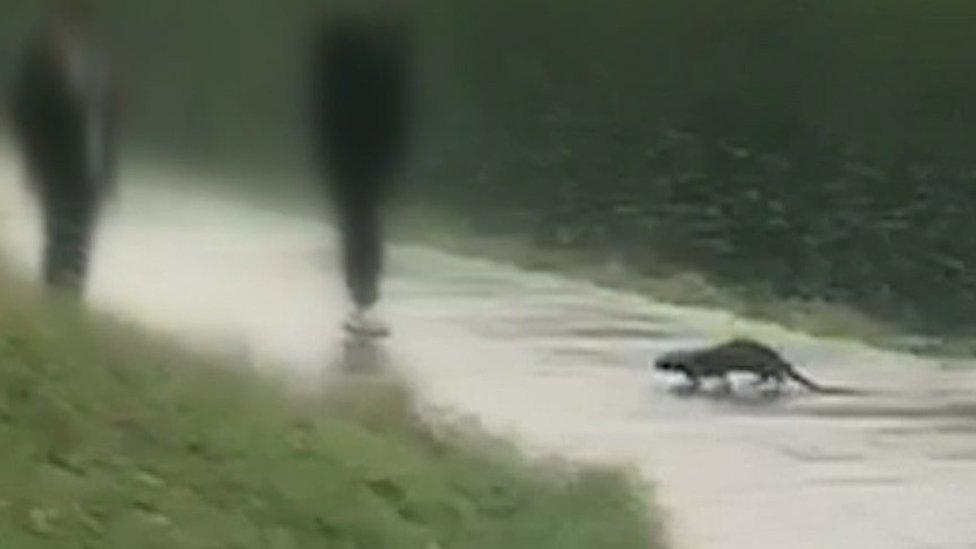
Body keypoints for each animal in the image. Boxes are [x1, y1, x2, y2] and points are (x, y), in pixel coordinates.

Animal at [656, 338, 860, 394]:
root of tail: (780, 357)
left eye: (662, 359)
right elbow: (722, 377)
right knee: (771, 376)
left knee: (776, 376)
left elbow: (700, 378)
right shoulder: (713, 369)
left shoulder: (701, 368)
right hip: (766, 366)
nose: (655, 363)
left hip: (765, 365)